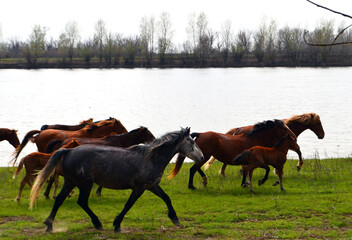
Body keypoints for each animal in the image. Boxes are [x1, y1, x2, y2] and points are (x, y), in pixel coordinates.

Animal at [31, 127, 205, 232]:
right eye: (191, 141)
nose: (202, 157)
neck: (150, 158)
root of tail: (68, 150)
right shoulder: (140, 187)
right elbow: (128, 205)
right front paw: (117, 225)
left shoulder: (152, 186)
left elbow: (167, 198)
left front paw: (176, 220)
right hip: (84, 184)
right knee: (81, 202)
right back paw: (97, 224)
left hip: (70, 182)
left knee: (59, 200)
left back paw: (49, 225)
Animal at [168, 119, 300, 189]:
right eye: (285, 128)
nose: (294, 137)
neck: (254, 138)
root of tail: (200, 134)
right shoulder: (256, 161)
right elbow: (263, 170)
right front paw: (259, 182)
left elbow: (245, 172)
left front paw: (244, 184)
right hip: (205, 156)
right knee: (193, 169)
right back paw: (192, 186)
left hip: (203, 156)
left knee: (196, 168)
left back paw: (204, 180)